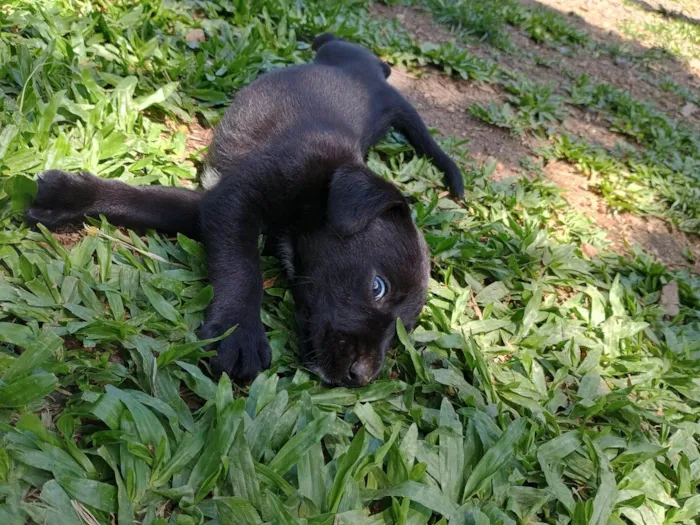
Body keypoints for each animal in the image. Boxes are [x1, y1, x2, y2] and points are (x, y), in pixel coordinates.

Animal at [27, 32, 462, 384]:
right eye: (378, 287)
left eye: (402, 330)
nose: (362, 378)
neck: (322, 188)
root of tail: (376, 84)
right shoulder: (232, 202)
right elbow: (240, 265)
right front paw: (239, 333)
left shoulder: (211, 206)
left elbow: (144, 203)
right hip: (355, 65)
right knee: (343, 47)